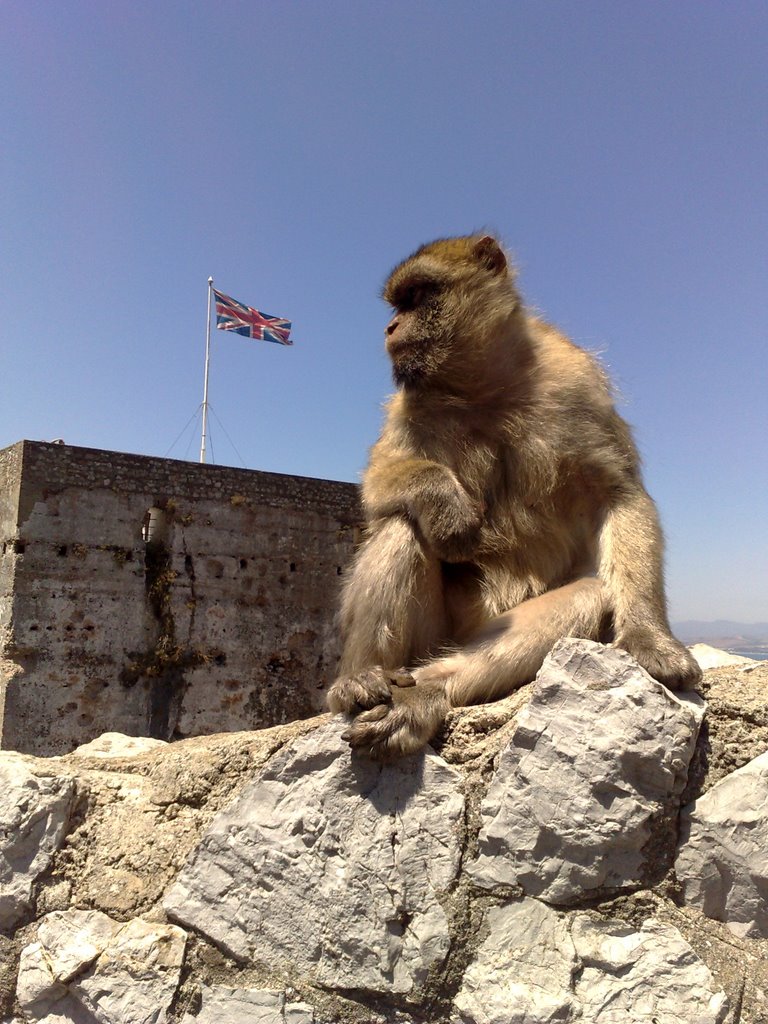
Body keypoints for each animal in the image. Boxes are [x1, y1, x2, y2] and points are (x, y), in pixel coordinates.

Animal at [327, 234, 700, 761]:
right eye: (399, 305)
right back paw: (360, 678)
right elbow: (380, 481)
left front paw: (650, 636)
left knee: (590, 592)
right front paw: (446, 504)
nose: (390, 326)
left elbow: (620, 495)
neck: (487, 387)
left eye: (416, 297)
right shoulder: (408, 405)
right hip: (435, 633)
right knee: (402, 524)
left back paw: (425, 692)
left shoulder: (576, 382)